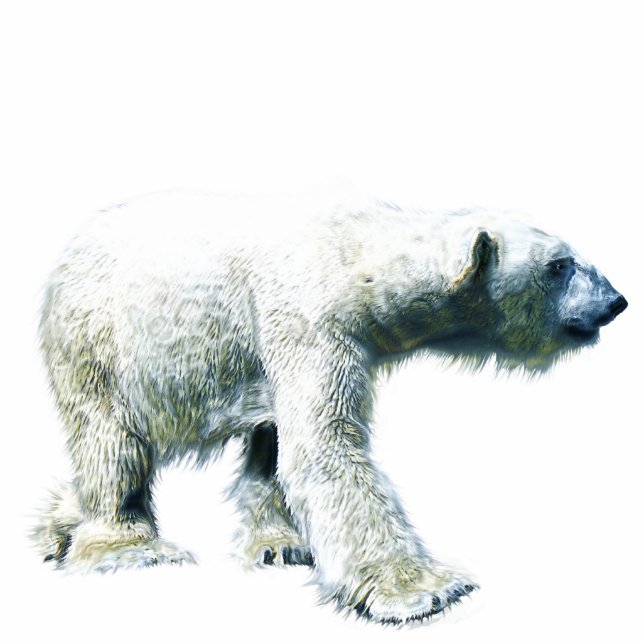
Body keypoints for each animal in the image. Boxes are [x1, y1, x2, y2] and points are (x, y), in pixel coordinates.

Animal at [34, 190, 627, 624]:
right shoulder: (307, 321)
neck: (353, 257)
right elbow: (325, 446)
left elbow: (278, 443)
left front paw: (283, 545)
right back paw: (129, 547)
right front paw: (427, 590)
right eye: (559, 265)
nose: (617, 301)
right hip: (99, 343)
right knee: (112, 443)